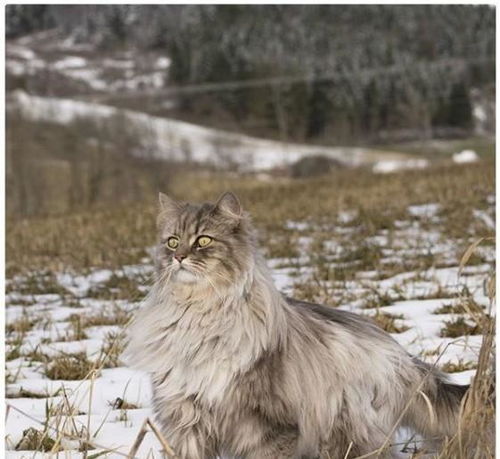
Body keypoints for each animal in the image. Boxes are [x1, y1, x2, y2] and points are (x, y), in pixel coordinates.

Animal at [122, 192, 468, 458]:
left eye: (203, 240)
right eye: (172, 242)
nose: (178, 257)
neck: (198, 314)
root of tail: (400, 357)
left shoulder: (264, 425)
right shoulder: (186, 421)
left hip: (344, 435)